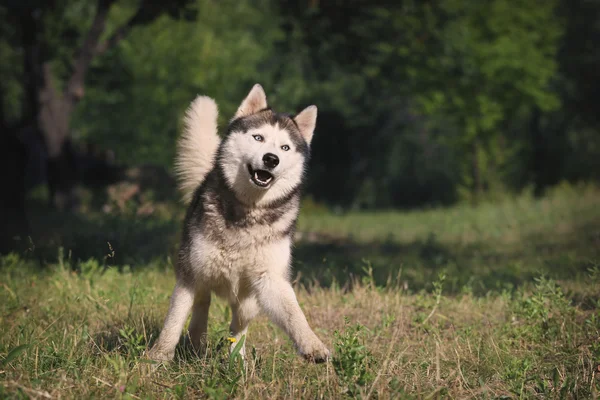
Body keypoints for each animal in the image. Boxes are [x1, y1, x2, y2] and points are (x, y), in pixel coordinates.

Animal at [148, 83, 330, 362]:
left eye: (285, 148)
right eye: (258, 138)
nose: (271, 159)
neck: (249, 210)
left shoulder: (271, 278)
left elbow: (294, 314)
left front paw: (312, 345)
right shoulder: (189, 276)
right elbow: (174, 320)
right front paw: (158, 357)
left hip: (249, 300)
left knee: (238, 326)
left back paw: (237, 361)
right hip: (202, 274)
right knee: (202, 305)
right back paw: (197, 343)